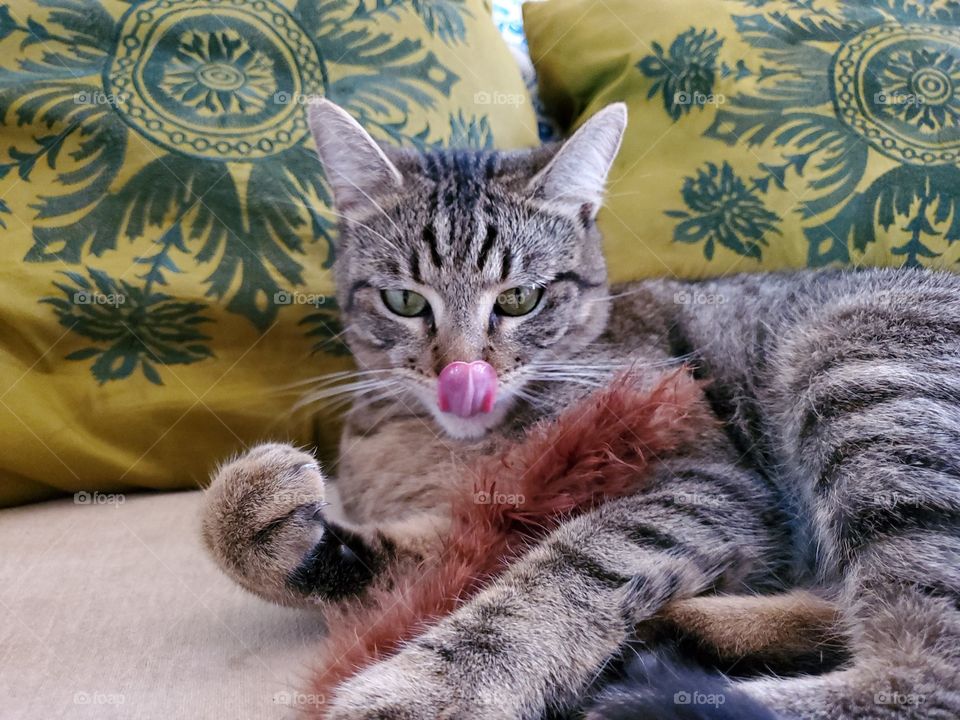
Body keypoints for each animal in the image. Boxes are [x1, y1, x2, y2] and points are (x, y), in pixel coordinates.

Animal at [199, 98, 956, 716]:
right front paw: (252, 515)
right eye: (405, 301)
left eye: (519, 299)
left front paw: (440, 687)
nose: (461, 376)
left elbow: (565, 569)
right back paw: (682, 628)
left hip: (860, 371)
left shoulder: (709, 480)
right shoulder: (474, 523)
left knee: (921, 676)